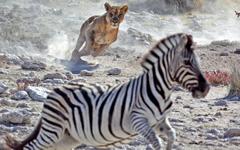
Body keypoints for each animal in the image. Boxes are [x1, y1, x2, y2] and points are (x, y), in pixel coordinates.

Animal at [4, 33, 210, 150]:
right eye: (187, 63)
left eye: (198, 61)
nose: (206, 89)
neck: (160, 90)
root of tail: (53, 92)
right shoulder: (138, 121)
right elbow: (156, 142)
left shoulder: (159, 121)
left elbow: (172, 136)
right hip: (52, 130)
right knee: (32, 147)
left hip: (67, 137)